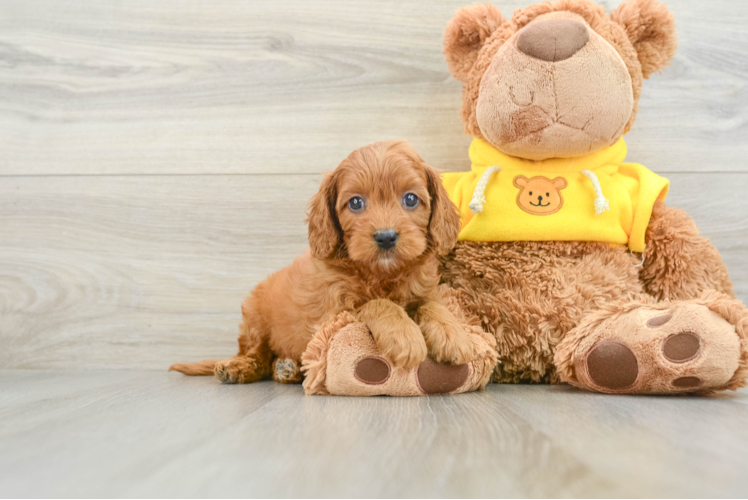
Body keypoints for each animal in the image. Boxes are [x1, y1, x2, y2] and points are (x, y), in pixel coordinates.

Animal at [172, 143, 470, 384]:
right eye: (356, 203)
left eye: (410, 198)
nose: (385, 237)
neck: (380, 273)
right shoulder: (332, 313)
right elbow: (376, 304)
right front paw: (404, 335)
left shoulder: (423, 291)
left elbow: (431, 305)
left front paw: (452, 334)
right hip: (255, 317)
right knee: (257, 355)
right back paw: (239, 367)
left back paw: (288, 369)